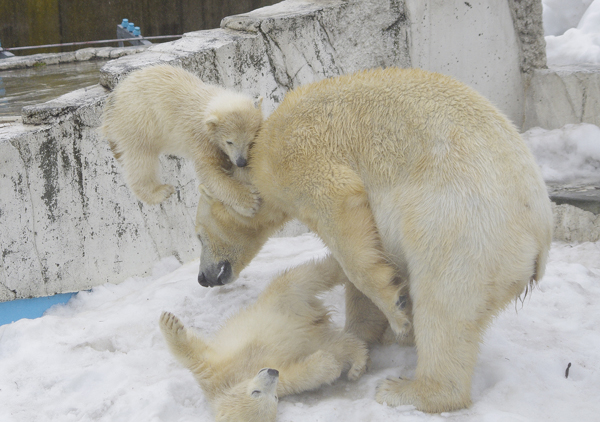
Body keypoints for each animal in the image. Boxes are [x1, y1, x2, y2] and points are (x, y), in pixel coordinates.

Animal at [193, 68, 552, 412]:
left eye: (197, 236)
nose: (203, 277)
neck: (258, 149)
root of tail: (539, 239)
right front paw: (362, 335)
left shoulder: (298, 154)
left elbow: (341, 212)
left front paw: (396, 310)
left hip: (463, 225)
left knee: (445, 301)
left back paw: (406, 390)